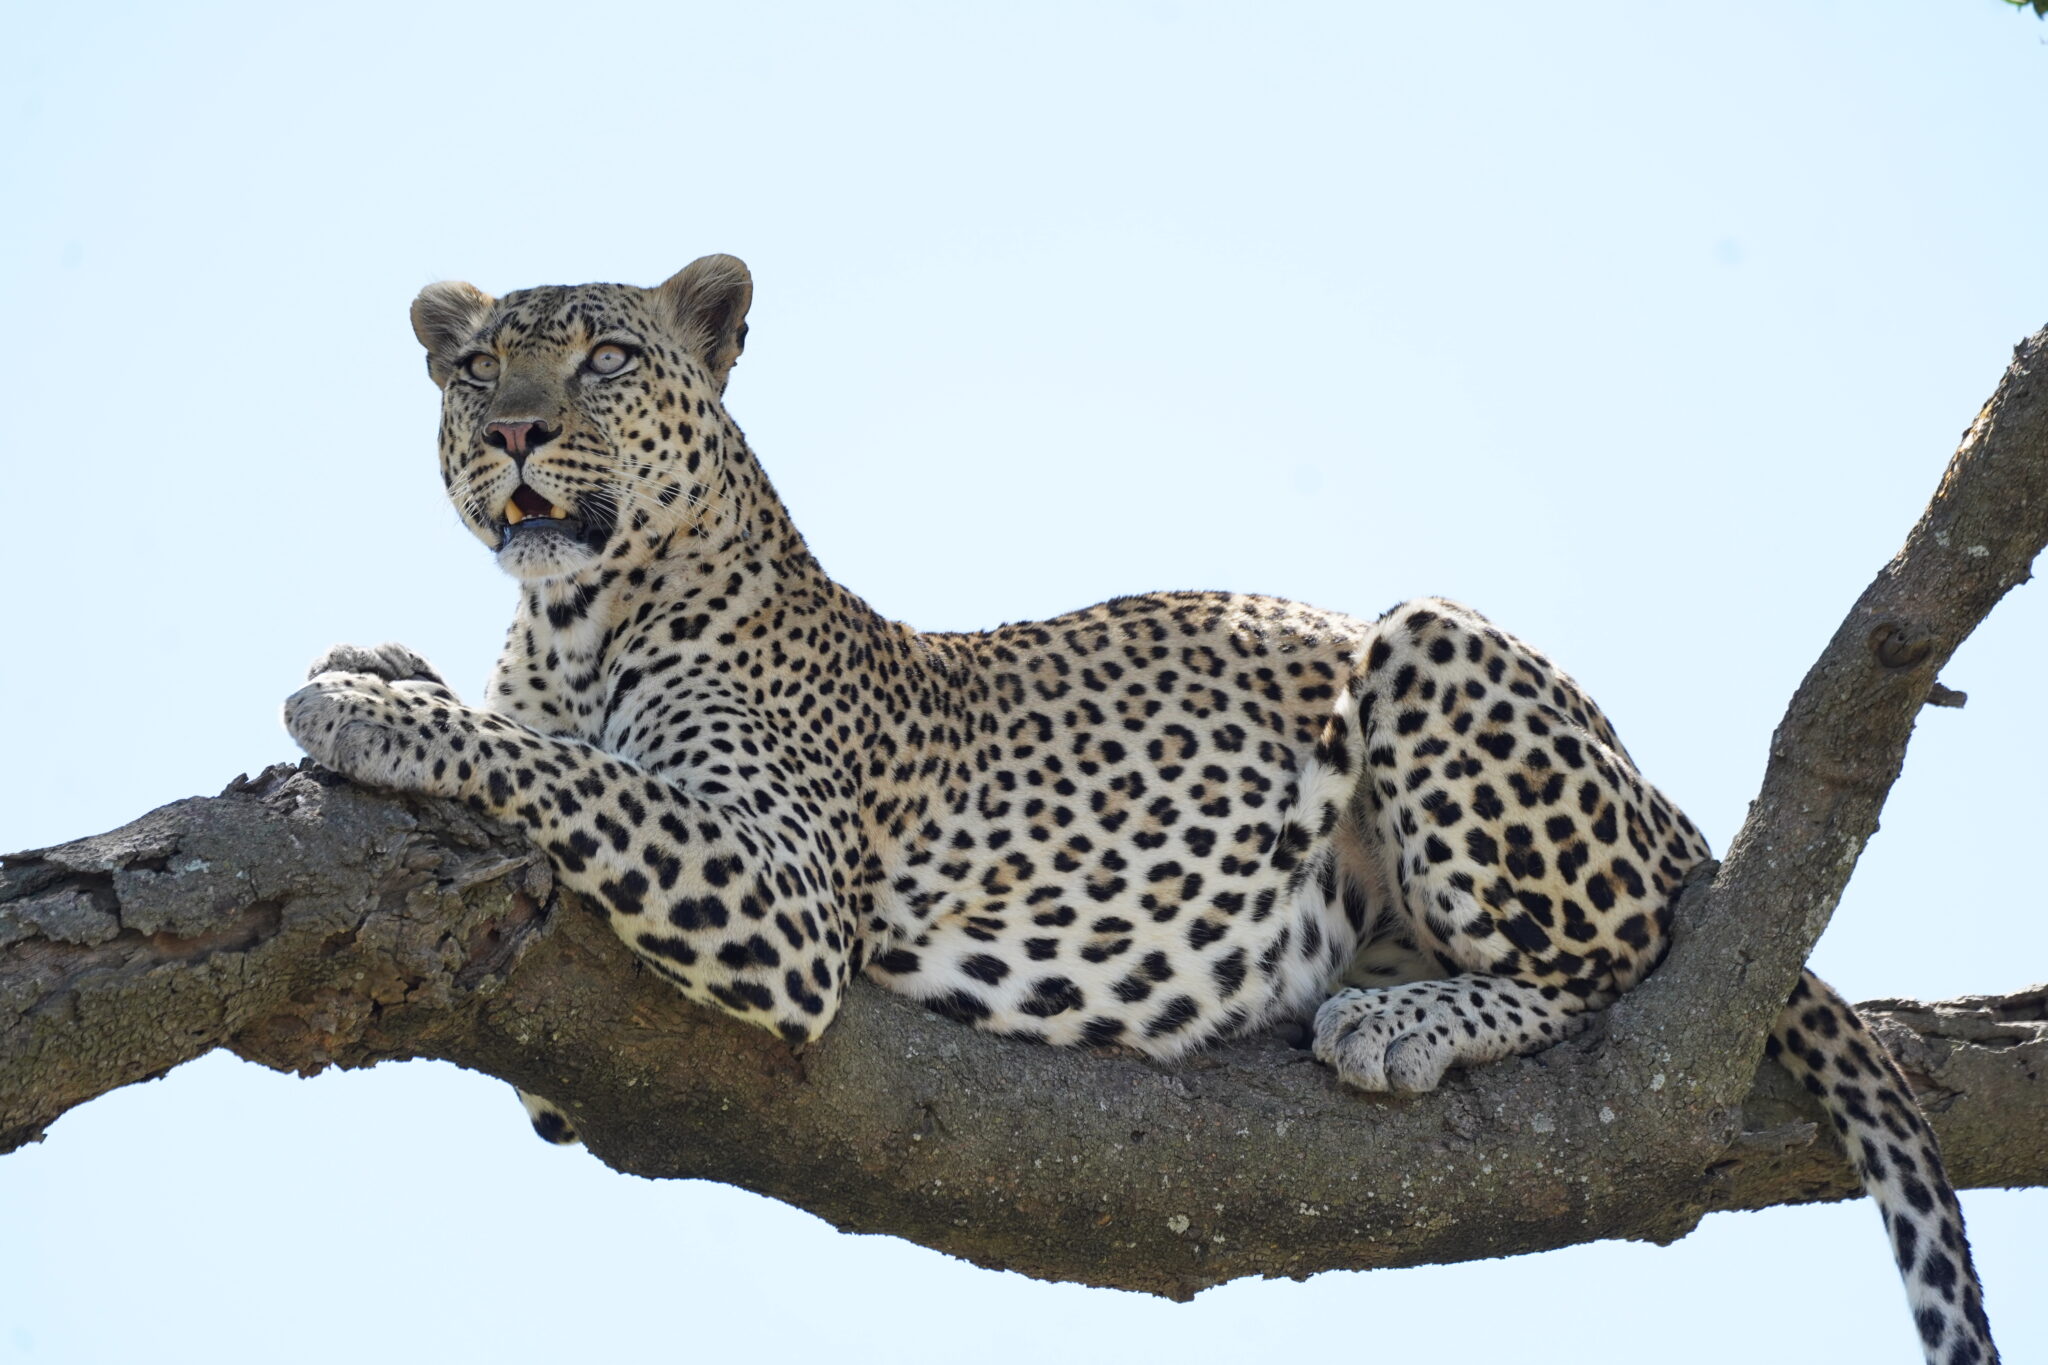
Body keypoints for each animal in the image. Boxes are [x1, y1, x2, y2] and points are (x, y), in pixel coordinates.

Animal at [283, 255, 1998, 1365]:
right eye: (471, 367)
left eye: (606, 360)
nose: (506, 430)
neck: (571, 622)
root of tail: (1668, 804)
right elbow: (541, 759)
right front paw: (379, 659)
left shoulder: (774, 892)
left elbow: (574, 774)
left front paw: (367, 709)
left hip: (1429, 646)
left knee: (1628, 970)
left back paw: (1407, 1022)